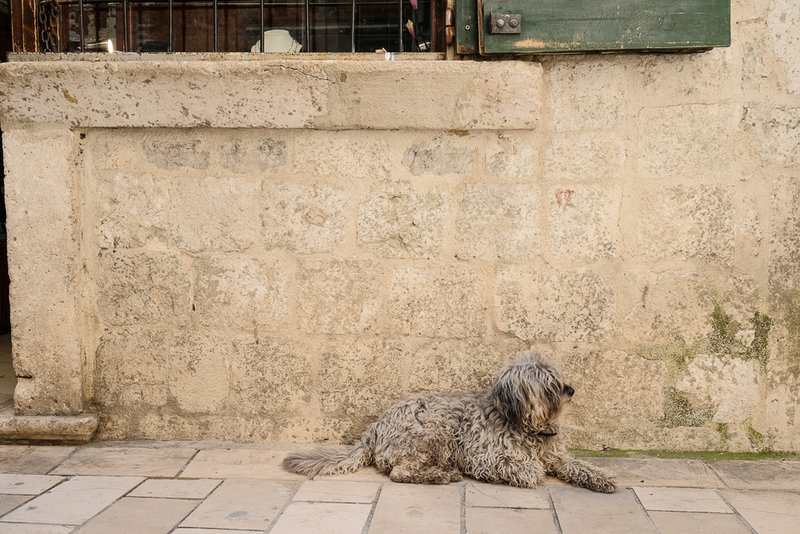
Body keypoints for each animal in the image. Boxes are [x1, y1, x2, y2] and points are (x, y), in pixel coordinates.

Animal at [284, 354, 616, 496]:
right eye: (547, 385)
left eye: (556, 377)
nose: (570, 390)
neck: (527, 426)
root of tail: (375, 427)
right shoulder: (483, 457)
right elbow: (527, 468)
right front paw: (529, 471)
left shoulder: (556, 456)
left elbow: (579, 465)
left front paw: (601, 477)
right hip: (435, 432)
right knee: (401, 473)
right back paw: (442, 475)